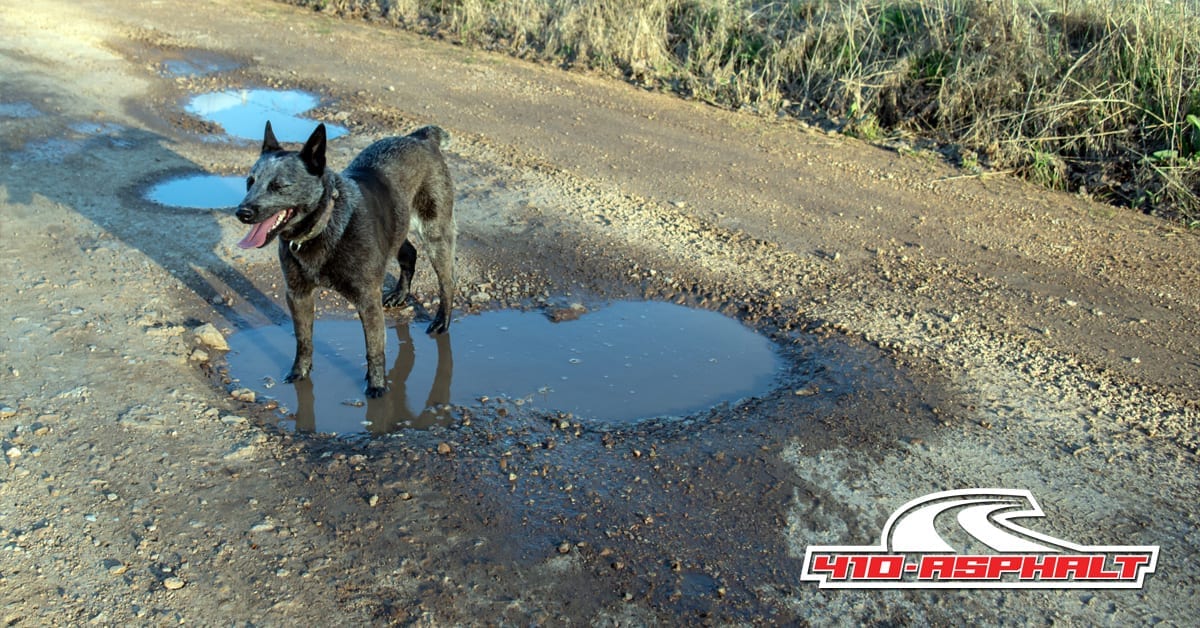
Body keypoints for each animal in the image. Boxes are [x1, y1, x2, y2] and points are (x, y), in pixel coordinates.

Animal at [234, 122, 453, 398]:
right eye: (249, 182)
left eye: (278, 186)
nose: (242, 212)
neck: (324, 226)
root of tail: (421, 138)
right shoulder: (297, 294)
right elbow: (303, 340)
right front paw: (299, 372)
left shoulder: (367, 300)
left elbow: (374, 349)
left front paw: (377, 385)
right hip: (397, 229)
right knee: (409, 253)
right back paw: (400, 294)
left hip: (435, 235)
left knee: (447, 281)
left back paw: (442, 321)